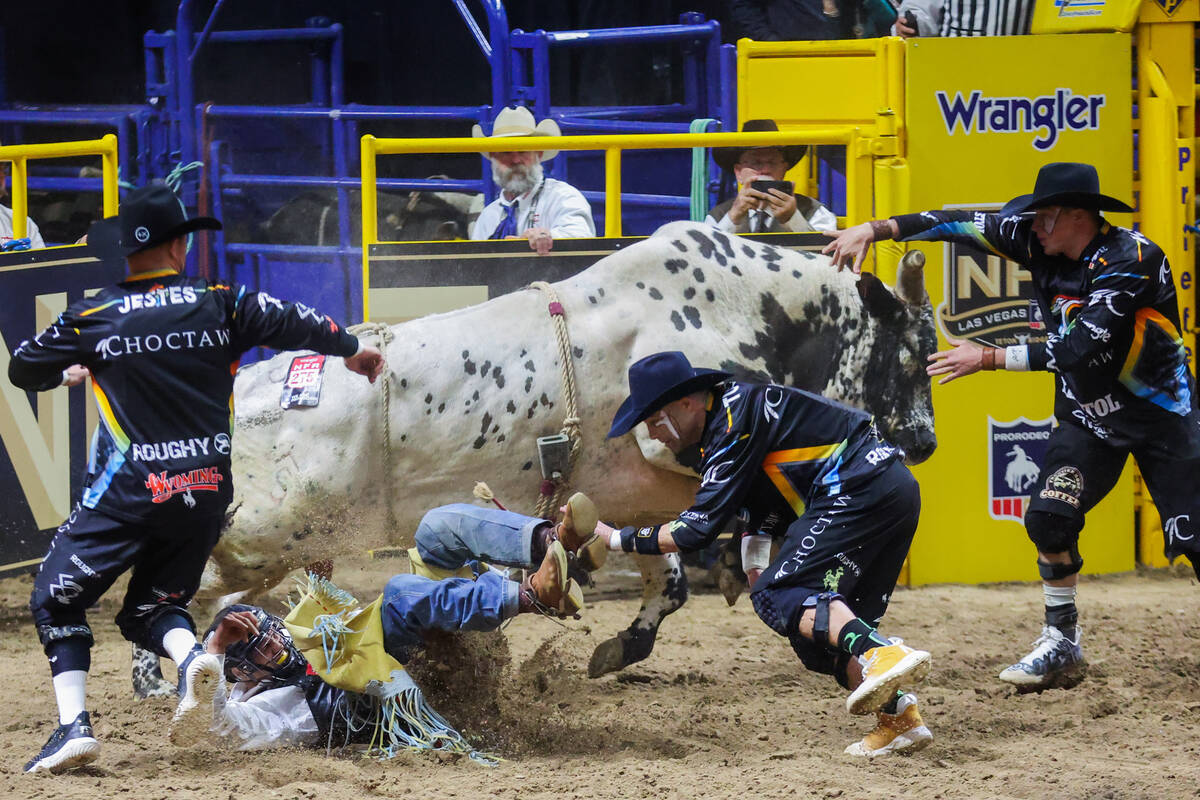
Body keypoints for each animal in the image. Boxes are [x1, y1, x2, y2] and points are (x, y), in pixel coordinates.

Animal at [131, 220, 936, 695]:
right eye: (912, 351)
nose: (926, 441)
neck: (754, 308)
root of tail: (244, 389)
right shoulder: (672, 441)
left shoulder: (636, 495)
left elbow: (666, 577)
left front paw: (622, 641)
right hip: (262, 531)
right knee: (180, 593)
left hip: (268, 546)